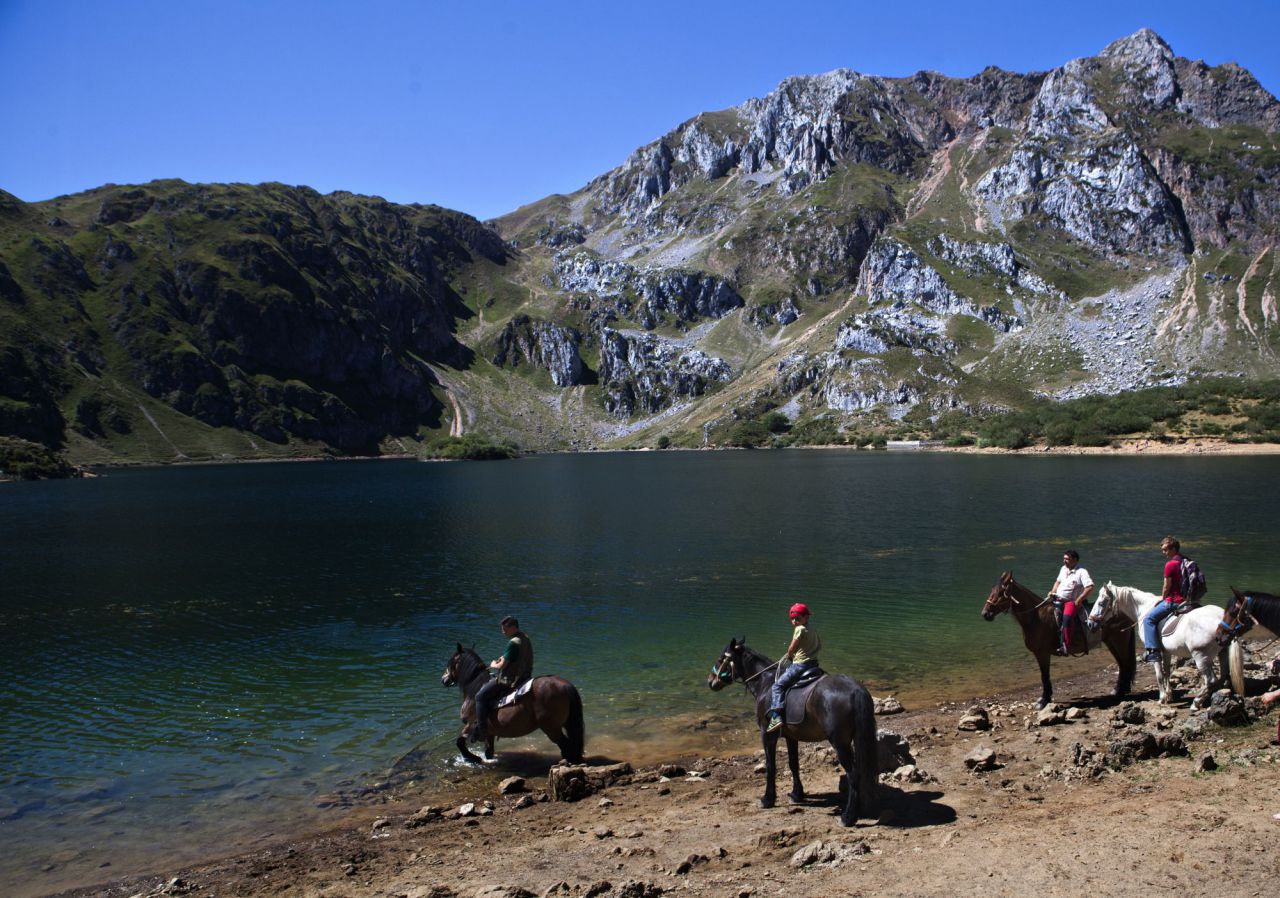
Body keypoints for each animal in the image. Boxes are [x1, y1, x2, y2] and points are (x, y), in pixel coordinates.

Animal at [437, 647, 583, 767]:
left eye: (450, 662)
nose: (443, 679)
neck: (474, 690)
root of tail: (565, 685)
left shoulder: (470, 724)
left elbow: (459, 742)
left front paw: (473, 758)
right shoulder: (489, 732)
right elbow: (489, 752)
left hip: (551, 728)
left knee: (566, 746)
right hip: (566, 724)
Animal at [706, 639, 875, 828]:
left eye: (721, 658)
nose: (710, 681)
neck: (766, 683)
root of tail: (856, 690)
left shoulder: (767, 735)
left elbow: (771, 767)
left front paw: (767, 799)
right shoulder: (791, 737)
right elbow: (793, 764)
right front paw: (797, 794)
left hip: (840, 744)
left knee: (853, 775)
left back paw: (848, 817)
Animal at [977, 578, 1141, 711]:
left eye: (1001, 593)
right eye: (992, 590)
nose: (985, 613)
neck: (1036, 617)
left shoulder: (1042, 653)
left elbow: (1044, 676)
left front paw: (1043, 701)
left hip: (1119, 641)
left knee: (1126, 663)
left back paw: (1121, 691)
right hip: (1111, 642)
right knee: (1122, 664)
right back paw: (1119, 690)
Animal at [1090, 583, 1228, 711]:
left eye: (1101, 603)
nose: (1090, 623)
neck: (1144, 608)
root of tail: (1221, 620)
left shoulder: (1154, 650)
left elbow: (1159, 674)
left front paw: (1162, 698)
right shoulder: (1166, 651)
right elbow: (1167, 672)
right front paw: (1169, 695)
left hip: (1201, 657)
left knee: (1211, 680)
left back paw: (1196, 703)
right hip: (1222, 653)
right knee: (1223, 677)